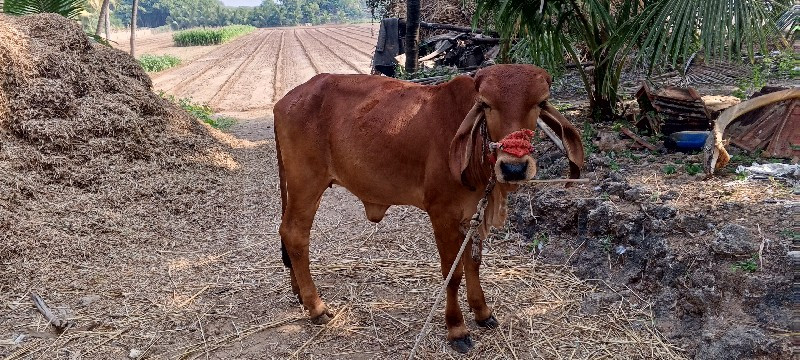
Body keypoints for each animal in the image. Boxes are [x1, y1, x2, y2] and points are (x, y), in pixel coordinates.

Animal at [274, 64, 580, 352]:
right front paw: (457, 329)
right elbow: (452, 274)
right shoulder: (442, 214)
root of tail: (285, 101)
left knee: (286, 234)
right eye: (485, 104)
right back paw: (316, 307)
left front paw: (482, 312)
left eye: (541, 102)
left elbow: (473, 263)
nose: (513, 168)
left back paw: (300, 294)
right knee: (294, 235)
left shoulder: (472, 214)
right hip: (306, 183)